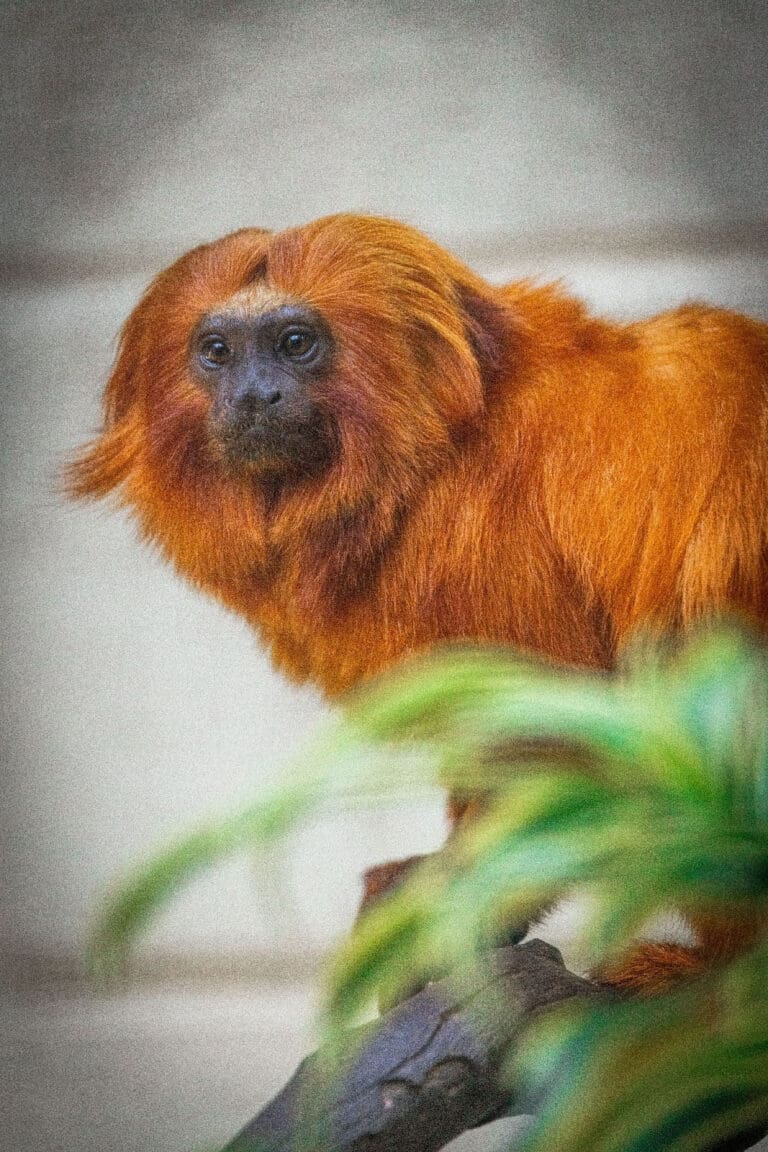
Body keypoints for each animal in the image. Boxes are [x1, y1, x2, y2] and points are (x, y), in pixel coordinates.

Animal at [66, 214, 768, 990]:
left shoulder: (489, 550)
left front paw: (459, 906)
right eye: (216, 352)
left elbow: (561, 732)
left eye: (295, 343)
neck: (433, 460)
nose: (252, 395)